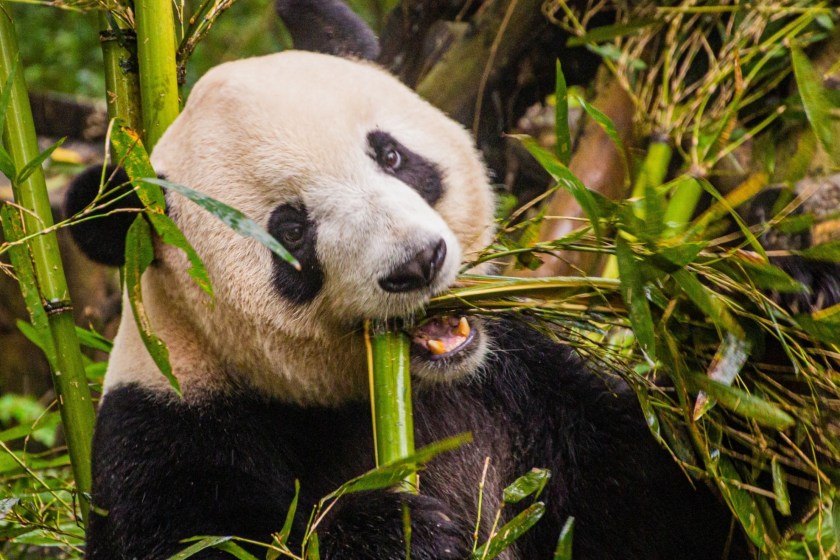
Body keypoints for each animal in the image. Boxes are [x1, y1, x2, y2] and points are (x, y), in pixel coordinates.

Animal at [64, 3, 743, 559]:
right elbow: (210, 540)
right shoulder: (170, 430)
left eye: (391, 156)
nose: (418, 262)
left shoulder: (523, 387)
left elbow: (660, 499)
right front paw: (400, 531)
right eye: (291, 231)